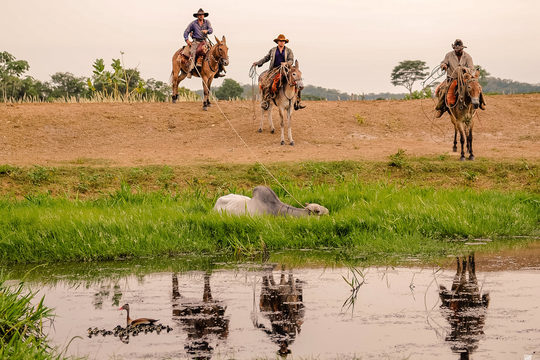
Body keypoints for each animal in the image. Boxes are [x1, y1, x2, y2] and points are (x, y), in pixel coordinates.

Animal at [194, 63, 306, 207]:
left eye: (300, 72)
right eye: (293, 73)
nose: (301, 86)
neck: (288, 92)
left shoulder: (290, 108)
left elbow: (289, 123)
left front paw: (291, 140)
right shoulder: (281, 107)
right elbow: (282, 123)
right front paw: (282, 141)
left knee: (269, 109)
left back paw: (271, 128)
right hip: (263, 95)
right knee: (263, 109)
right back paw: (261, 127)